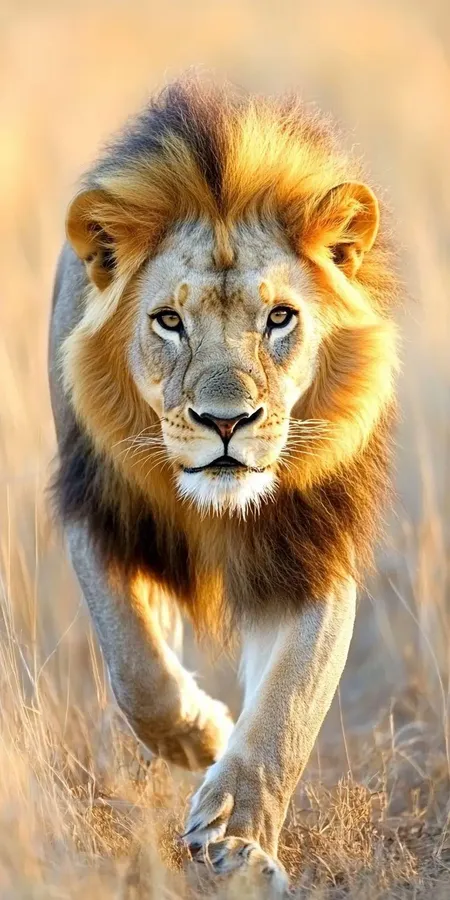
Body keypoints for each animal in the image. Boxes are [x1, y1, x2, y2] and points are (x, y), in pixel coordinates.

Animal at [48, 77, 398, 890]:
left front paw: (236, 844)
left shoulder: (314, 553)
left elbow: (286, 713)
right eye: (168, 321)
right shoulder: (95, 512)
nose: (226, 421)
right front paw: (203, 736)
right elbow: (136, 668)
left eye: (280, 318)